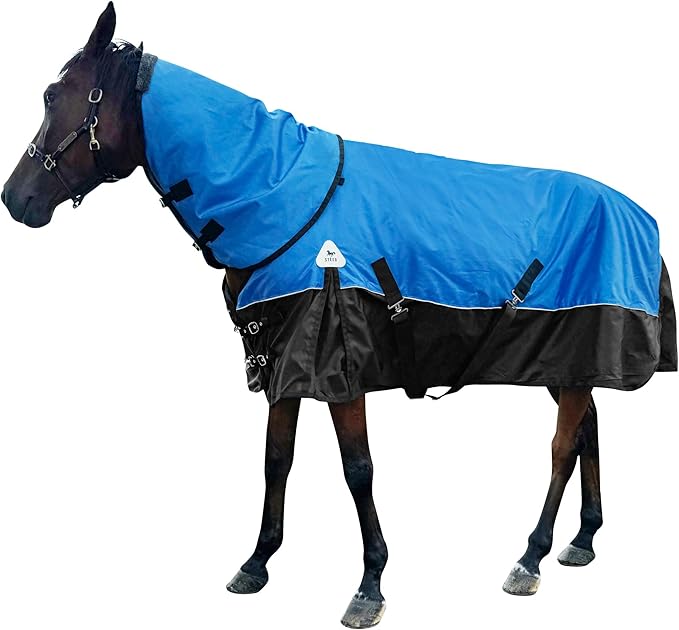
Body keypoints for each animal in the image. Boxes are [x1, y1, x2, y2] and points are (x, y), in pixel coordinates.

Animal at [2, 4, 676, 628]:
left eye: (53, 96)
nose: (16, 199)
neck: (281, 196)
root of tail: (640, 216)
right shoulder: (283, 359)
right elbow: (276, 458)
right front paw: (256, 562)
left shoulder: (340, 366)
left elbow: (358, 470)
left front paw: (370, 585)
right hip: (564, 359)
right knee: (587, 430)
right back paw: (582, 540)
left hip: (575, 350)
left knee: (562, 446)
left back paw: (529, 557)